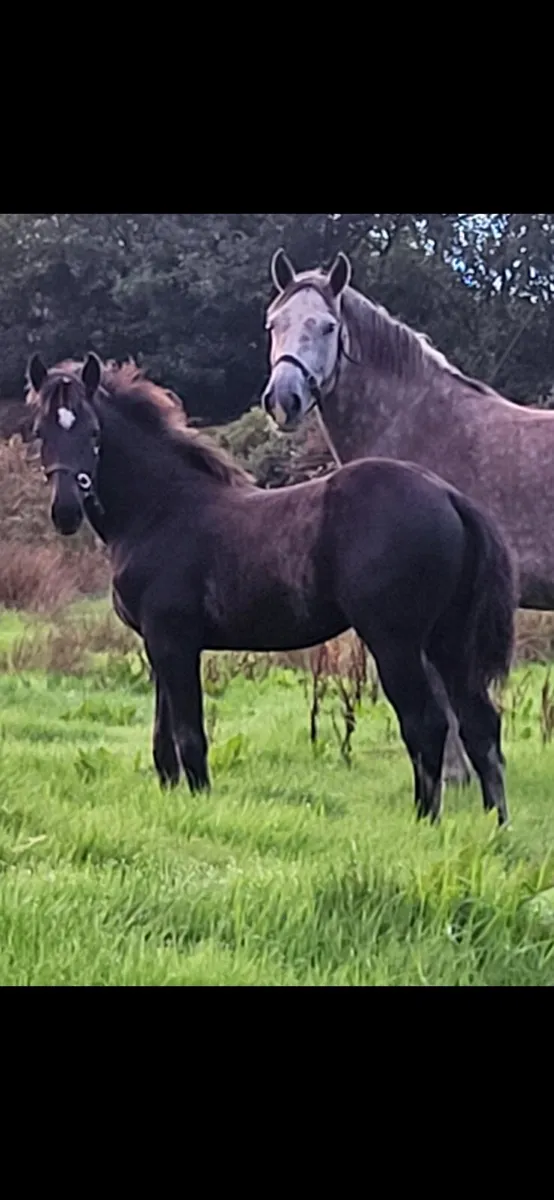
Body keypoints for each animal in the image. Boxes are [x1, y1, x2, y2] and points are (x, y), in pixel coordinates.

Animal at [26, 351, 517, 827]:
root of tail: (449, 496)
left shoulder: (173, 641)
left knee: (427, 724)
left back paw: (425, 820)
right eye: (39, 431)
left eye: (93, 430)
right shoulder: (158, 644)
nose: (65, 511)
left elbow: (188, 735)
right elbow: (163, 741)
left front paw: (201, 805)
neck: (160, 511)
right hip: (449, 641)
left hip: (395, 642)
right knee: (480, 724)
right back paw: (496, 825)